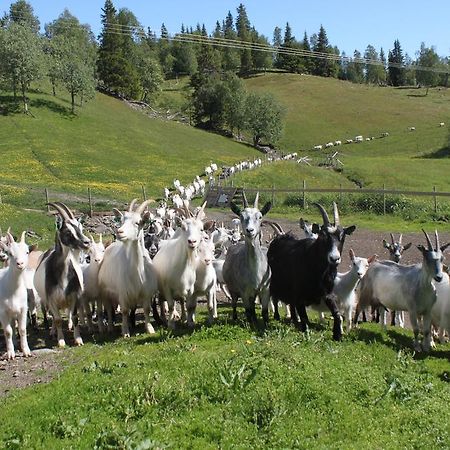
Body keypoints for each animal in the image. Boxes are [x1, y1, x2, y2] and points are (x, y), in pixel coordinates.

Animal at [33, 203, 90, 348]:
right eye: (68, 232)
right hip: (46, 299)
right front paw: (61, 341)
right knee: (54, 317)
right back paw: (53, 331)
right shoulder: (52, 298)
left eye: (80, 227)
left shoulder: (73, 295)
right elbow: (57, 319)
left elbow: (74, 317)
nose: (87, 242)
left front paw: (78, 339)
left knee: (68, 313)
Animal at [268, 202, 356, 340]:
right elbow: (304, 316)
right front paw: (305, 333)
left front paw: (337, 335)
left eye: (342, 237)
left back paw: (294, 320)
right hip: (275, 282)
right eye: (323, 235)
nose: (334, 258)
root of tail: (279, 238)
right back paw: (277, 316)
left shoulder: (326, 292)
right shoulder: (299, 294)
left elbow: (337, 313)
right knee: (275, 298)